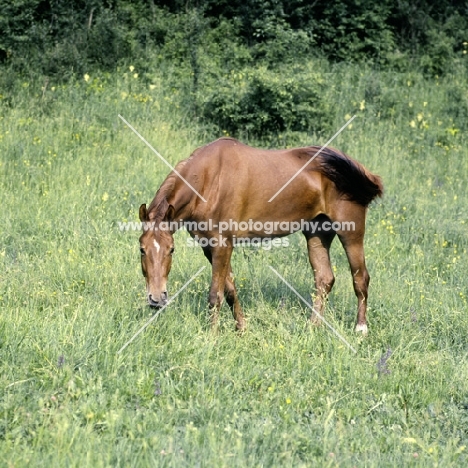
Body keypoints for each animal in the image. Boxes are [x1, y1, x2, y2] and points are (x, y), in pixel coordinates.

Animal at [137, 137, 382, 334]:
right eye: (141, 249)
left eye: (171, 249)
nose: (156, 298)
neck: (209, 179)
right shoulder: (210, 246)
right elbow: (230, 290)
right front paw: (241, 328)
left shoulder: (222, 244)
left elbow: (215, 295)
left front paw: (212, 337)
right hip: (317, 233)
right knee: (324, 280)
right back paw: (313, 327)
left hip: (350, 231)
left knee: (360, 278)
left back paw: (361, 328)